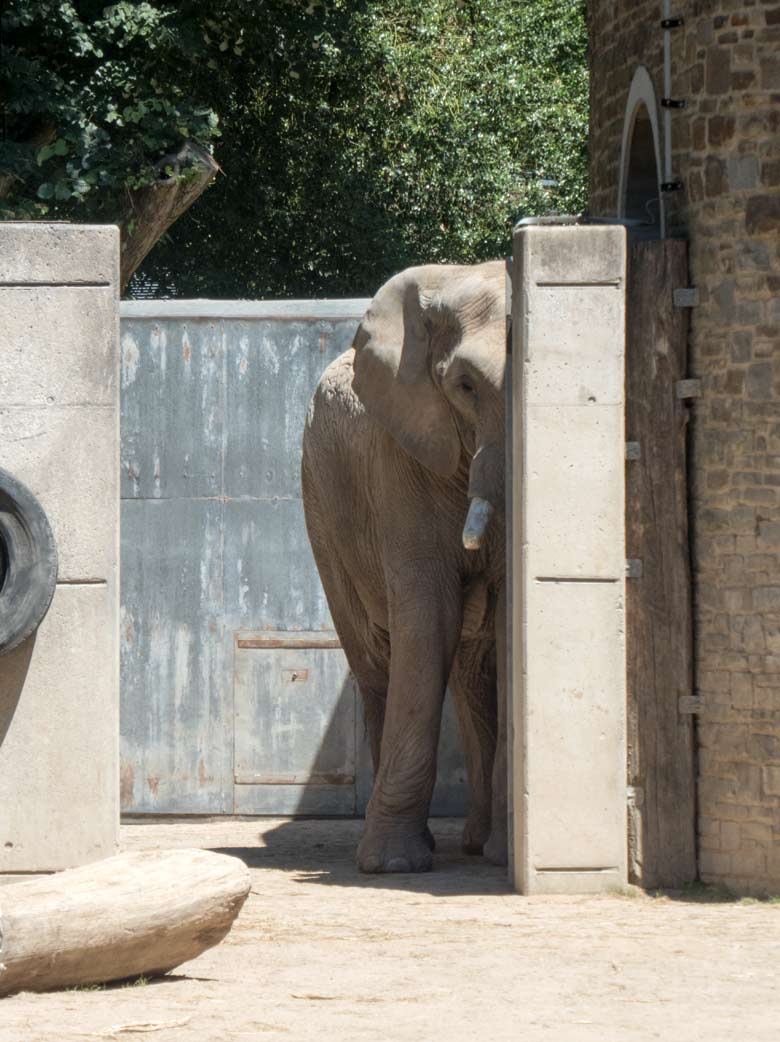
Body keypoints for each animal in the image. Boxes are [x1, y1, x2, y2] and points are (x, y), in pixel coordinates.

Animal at [302, 258, 508, 871]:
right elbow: (426, 616)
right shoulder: (399, 458)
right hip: (323, 510)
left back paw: (481, 845)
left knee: (473, 669)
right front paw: (395, 864)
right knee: (376, 664)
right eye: (465, 386)